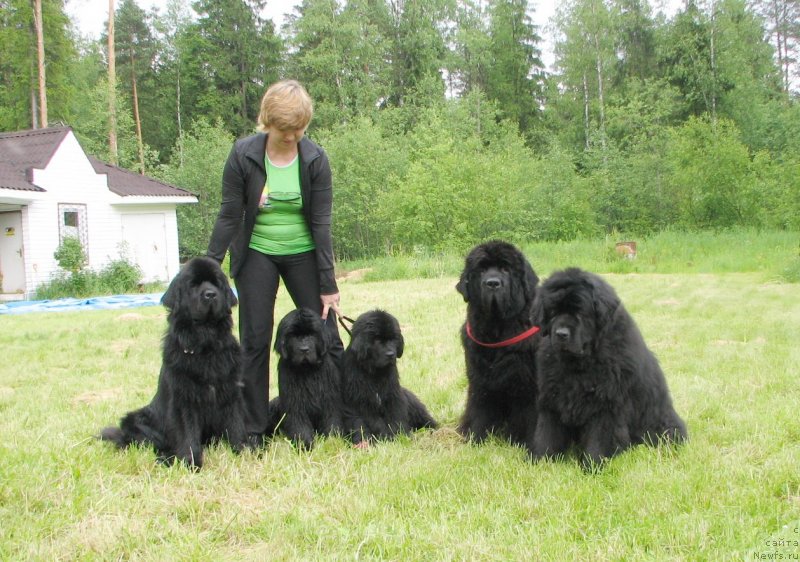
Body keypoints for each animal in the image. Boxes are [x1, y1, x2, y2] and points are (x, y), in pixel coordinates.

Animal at [268, 306, 346, 446]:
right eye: (294, 336)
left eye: (311, 334)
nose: (304, 349)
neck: (307, 369)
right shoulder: (294, 404)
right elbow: (300, 426)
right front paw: (305, 445)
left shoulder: (330, 400)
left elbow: (331, 420)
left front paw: (332, 440)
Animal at [340, 308, 438, 444]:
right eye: (376, 339)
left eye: (393, 338)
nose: (391, 354)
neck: (375, 373)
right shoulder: (364, 402)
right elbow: (377, 422)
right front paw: (388, 437)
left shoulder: (393, 395)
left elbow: (396, 417)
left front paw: (401, 435)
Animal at [456, 238, 544, 452]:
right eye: (481, 270)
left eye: (505, 269)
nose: (492, 283)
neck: (497, 331)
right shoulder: (479, 380)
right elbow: (479, 411)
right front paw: (475, 440)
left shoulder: (529, 385)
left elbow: (530, 417)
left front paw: (528, 445)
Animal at [536, 264, 684, 466]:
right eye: (553, 312)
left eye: (580, 312)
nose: (561, 333)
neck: (580, 363)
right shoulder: (553, 398)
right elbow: (547, 433)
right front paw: (539, 461)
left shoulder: (608, 403)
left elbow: (600, 437)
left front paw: (593, 465)